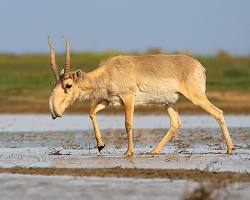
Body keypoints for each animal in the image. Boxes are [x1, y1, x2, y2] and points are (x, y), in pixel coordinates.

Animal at [48, 38, 234, 156]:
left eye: (68, 85)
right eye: (55, 83)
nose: (54, 112)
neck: (109, 71)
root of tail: (200, 66)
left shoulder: (128, 98)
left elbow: (128, 123)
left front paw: (129, 152)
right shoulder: (108, 101)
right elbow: (91, 112)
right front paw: (101, 145)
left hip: (196, 97)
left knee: (218, 113)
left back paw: (230, 149)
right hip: (169, 103)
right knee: (175, 122)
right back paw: (153, 151)